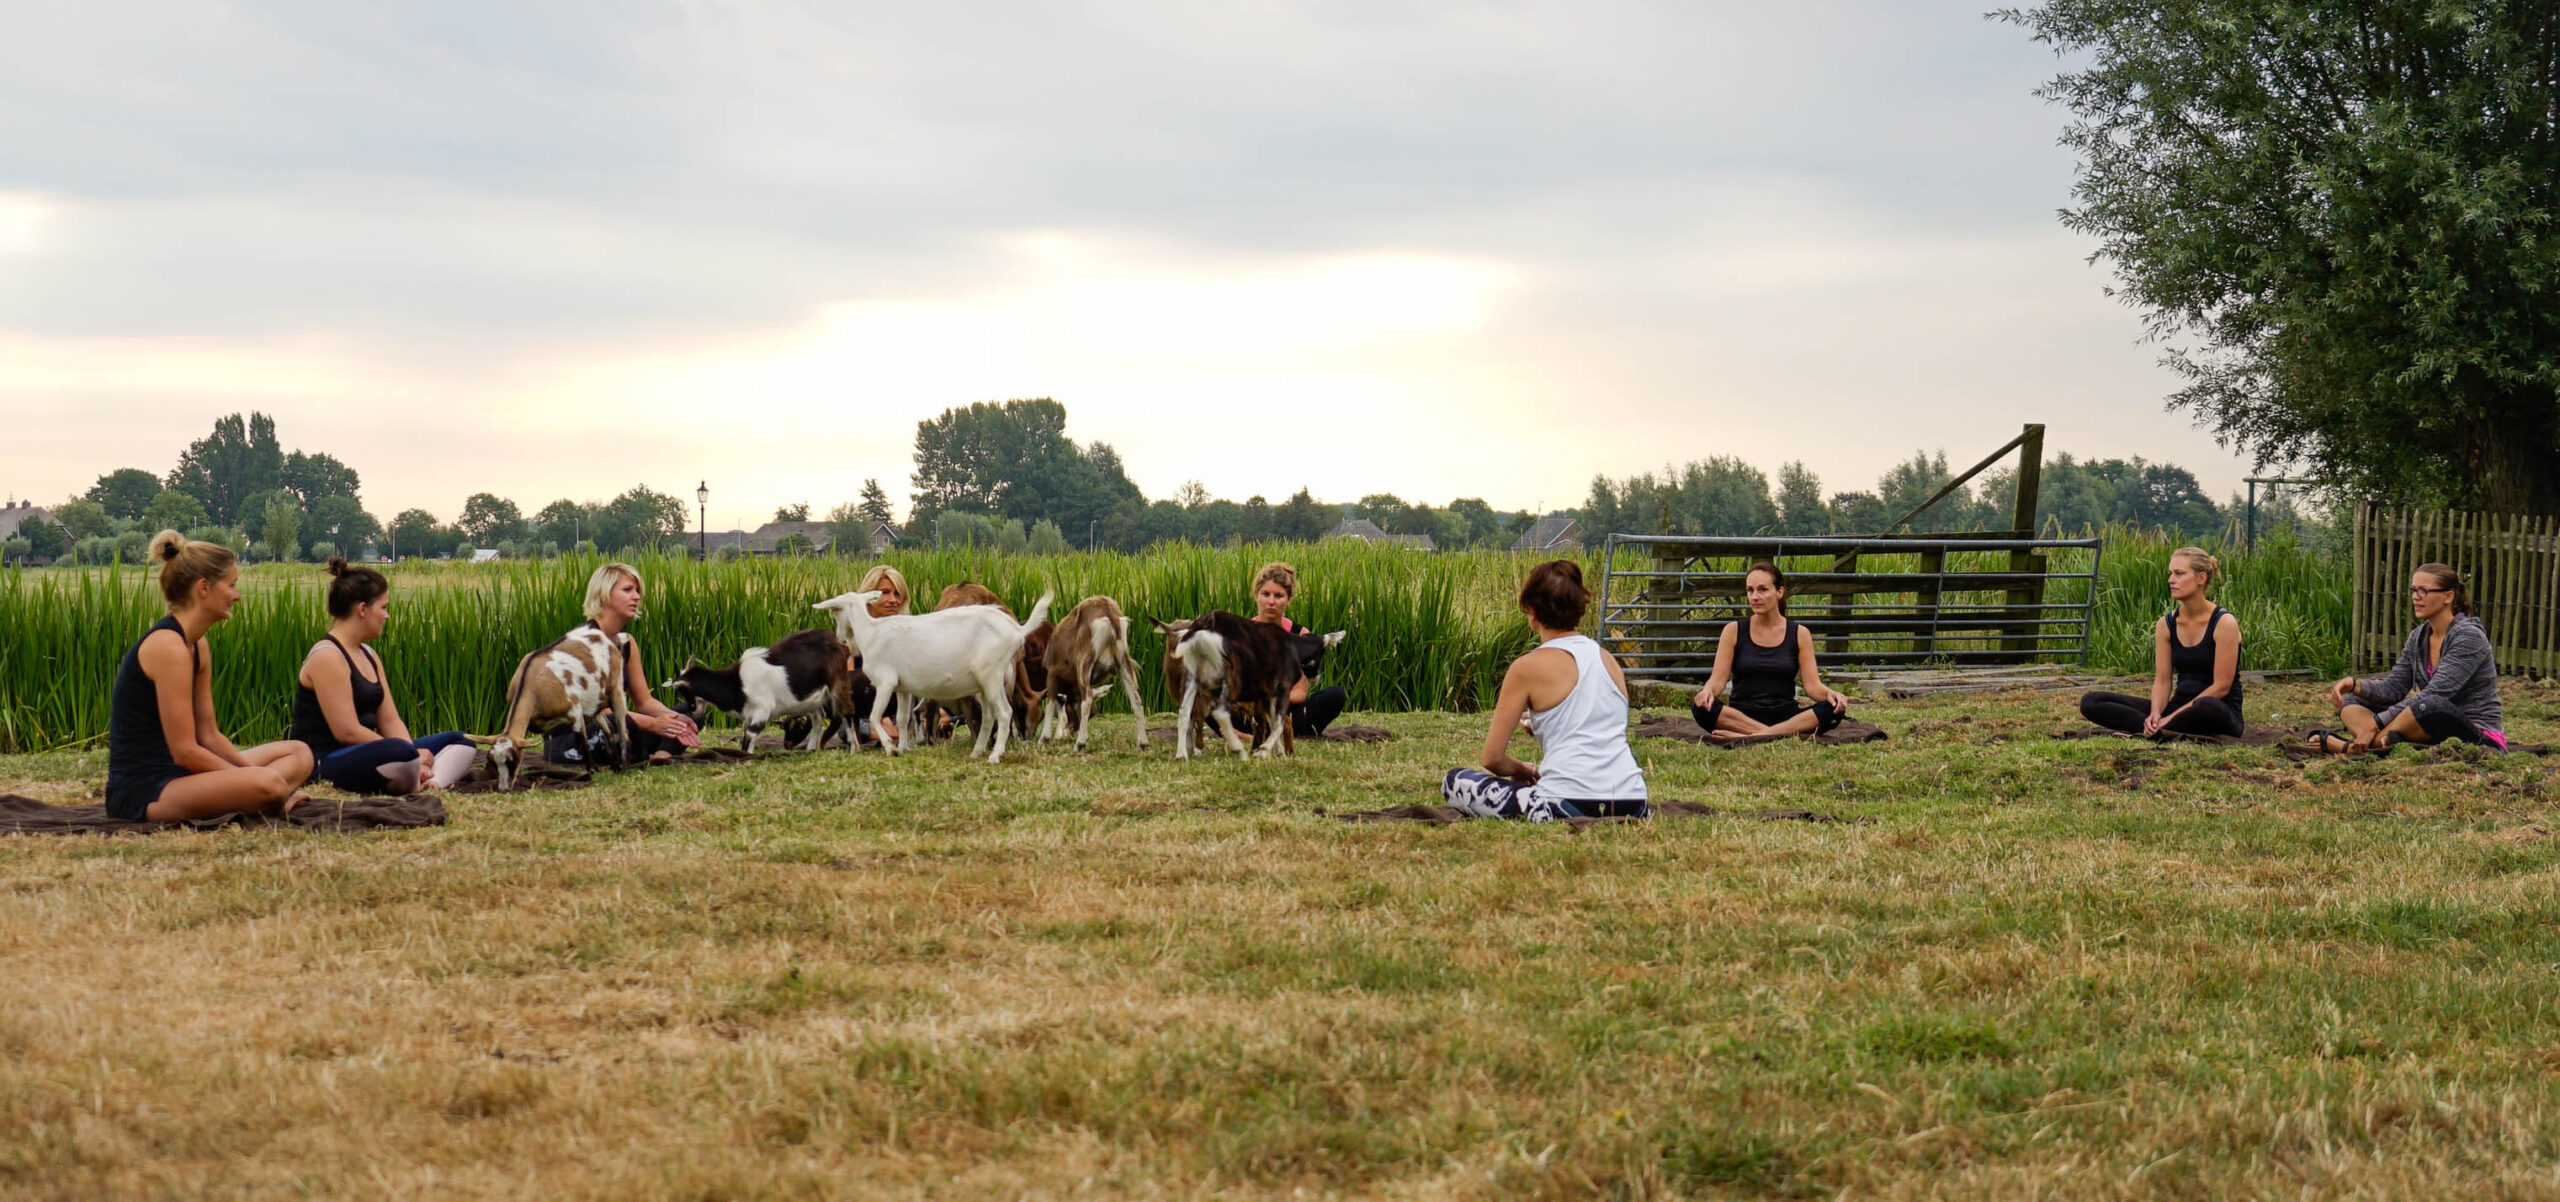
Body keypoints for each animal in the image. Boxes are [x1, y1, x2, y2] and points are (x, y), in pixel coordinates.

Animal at [486, 624, 632, 792]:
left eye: (511, 760)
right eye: (492, 761)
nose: (503, 789)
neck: (533, 683)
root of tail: (609, 641)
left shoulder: (575, 711)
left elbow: (581, 741)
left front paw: (591, 771)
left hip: (616, 690)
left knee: (623, 730)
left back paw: (624, 767)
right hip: (594, 704)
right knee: (608, 728)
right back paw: (615, 765)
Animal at [660, 629, 860, 751]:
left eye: (683, 691)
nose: (692, 711)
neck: (737, 683)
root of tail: (839, 643)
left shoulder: (761, 711)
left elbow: (749, 737)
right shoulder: (749, 715)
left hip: (838, 683)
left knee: (848, 712)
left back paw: (854, 748)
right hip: (812, 698)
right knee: (818, 718)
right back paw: (811, 749)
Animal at [819, 585, 1059, 767]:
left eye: (835, 611)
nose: (840, 637)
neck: (871, 632)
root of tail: (1016, 631)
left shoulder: (885, 682)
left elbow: (875, 716)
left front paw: (890, 748)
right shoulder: (902, 688)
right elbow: (902, 718)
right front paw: (903, 748)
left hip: (992, 674)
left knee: (1005, 712)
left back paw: (994, 755)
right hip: (985, 684)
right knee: (989, 717)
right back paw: (977, 751)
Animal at [1044, 593, 1157, 751]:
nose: (1072, 730)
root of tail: (1109, 615)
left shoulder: (1052, 672)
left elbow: (1051, 701)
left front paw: (1044, 738)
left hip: (1085, 662)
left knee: (1087, 698)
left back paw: (1080, 744)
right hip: (1123, 661)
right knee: (1135, 698)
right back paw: (1143, 743)